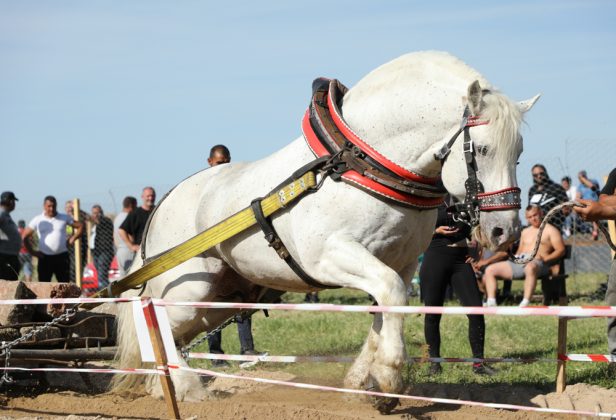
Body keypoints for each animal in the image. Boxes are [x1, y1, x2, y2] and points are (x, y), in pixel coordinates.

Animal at [114, 50, 540, 412]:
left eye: (518, 153)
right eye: (481, 150)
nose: (504, 230)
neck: (360, 163)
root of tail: (162, 205)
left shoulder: (402, 264)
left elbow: (389, 304)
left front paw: (362, 383)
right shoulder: (329, 256)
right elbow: (389, 293)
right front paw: (388, 377)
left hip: (224, 297)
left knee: (165, 333)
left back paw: (164, 387)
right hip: (191, 293)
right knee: (156, 322)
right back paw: (188, 388)